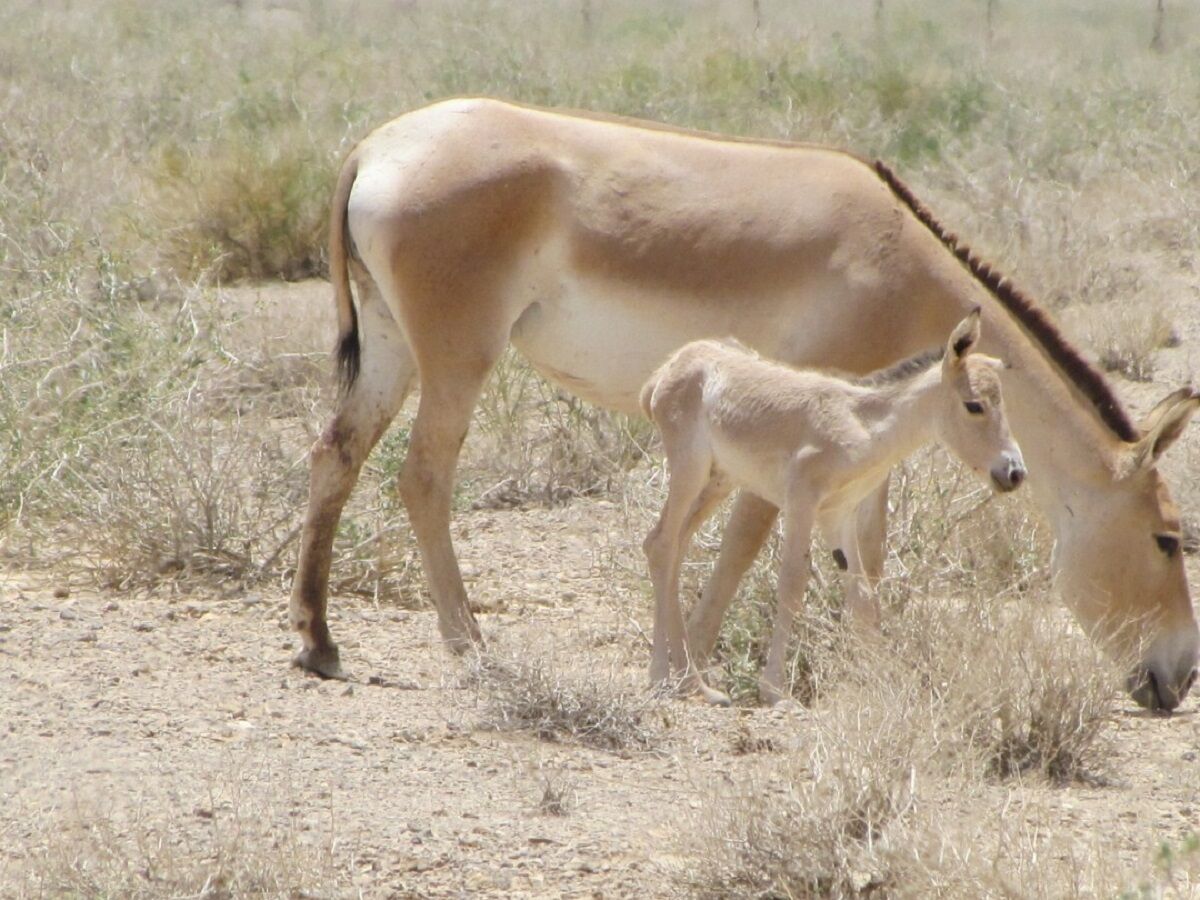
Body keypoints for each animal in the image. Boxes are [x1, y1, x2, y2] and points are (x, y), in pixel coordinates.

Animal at [643, 314, 1027, 710]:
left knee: (672, 547)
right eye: (974, 405)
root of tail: (670, 368)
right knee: (661, 545)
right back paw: (661, 676)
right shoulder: (801, 501)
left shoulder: (838, 515)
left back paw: (693, 683)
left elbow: (861, 599)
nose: (1014, 473)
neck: (862, 424)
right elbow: (792, 584)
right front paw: (775, 691)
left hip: (719, 481)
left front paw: (880, 680)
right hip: (689, 469)